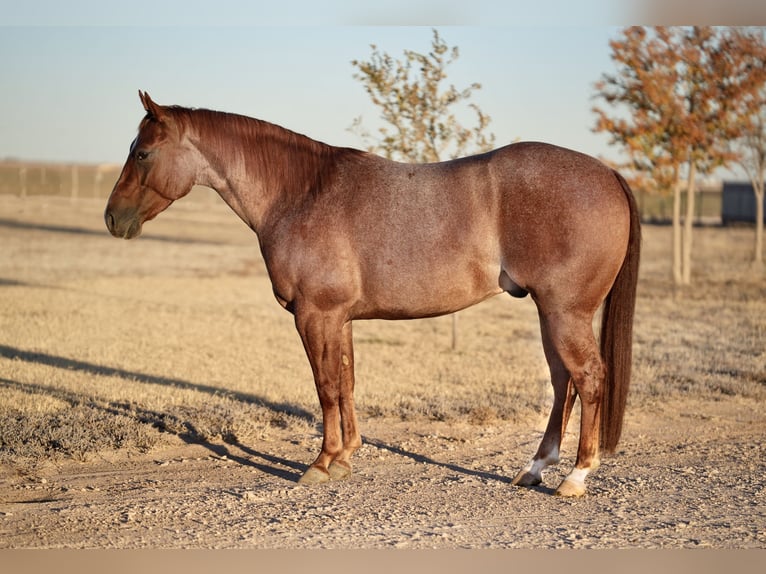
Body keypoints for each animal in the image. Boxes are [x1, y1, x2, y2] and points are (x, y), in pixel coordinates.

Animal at [103, 92, 640, 498]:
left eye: (142, 153)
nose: (113, 218)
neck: (300, 193)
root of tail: (608, 174)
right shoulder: (339, 318)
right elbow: (346, 382)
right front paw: (345, 456)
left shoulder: (315, 316)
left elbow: (325, 387)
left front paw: (321, 463)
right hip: (551, 314)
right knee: (562, 382)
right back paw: (534, 468)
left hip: (565, 313)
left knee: (588, 379)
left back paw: (575, 477)